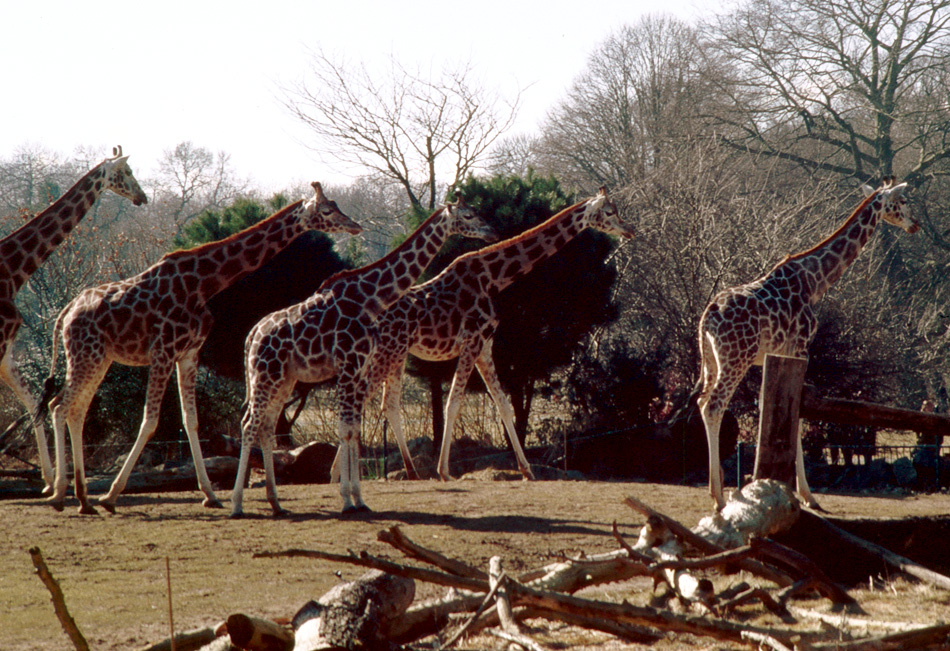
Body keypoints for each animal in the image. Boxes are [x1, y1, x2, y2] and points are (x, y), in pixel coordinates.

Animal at [0, 148, 147, 494]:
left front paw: (49, 480)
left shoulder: (7, 351)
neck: (12, 273)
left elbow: (32, 401)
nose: (143, 197)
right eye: (128, 171)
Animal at [41, 182, 362, 516]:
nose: (355, 225)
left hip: (98, 358)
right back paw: (61, 494)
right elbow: (150, 421)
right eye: (326, 210)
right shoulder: (163, 352)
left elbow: (191, 421)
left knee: (74, 409)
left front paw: (210, 494)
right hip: (85, 354)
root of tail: (66, 313)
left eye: (336, 205)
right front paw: (112, 495)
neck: (203, 284)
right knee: (60, 406)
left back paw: (82, 497)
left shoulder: (188, 354)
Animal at [232, 191, 498, 516]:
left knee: (267, 427)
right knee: (248, 425)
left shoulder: (358, 368)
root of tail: (251, 337)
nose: (491, 232)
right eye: (469, 215)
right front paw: (348, 499)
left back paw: (276, 502)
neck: (370, 297)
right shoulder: (348, 365)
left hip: (284, 379)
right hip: (264, 375)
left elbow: (353, 429)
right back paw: (237, 504)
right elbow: (345, 429)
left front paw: (358, 499)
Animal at [354, 186, 636, 482]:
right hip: (385, 352)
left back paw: (409, 472)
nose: (630, 229)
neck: (494, 278)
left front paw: (526, 470)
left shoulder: (485, 346)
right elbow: (453, 403)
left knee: (387, 404)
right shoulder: (472, 341)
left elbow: (503, 405)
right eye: (609, 211)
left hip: (396, 354)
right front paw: (444, 472)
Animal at [700, 178, 924, 510]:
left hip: (712, 361)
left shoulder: (778, 353)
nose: (915, 224)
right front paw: (807, 495)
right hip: (736, 358)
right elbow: (798, 416)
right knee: (714, 405)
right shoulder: (801, 346)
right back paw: (718, 497)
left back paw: (716, 491)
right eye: (904, 200)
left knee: (702, 402)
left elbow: (776, 409)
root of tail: (707, 319)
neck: (816, 281)